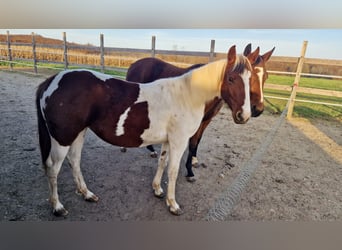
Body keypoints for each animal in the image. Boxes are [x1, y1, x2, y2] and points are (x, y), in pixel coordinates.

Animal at [36, 45, 255, 217]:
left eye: (251, 78)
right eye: (231, 78)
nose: (244, 115)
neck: (188, 95)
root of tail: (52, 81)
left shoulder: (168, 140)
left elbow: (162, 162)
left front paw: (157, 189)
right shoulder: (179, 141)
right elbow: (173, 170)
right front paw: (172, 204)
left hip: (78, 134)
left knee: (74, 161)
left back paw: (87, 194)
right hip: (62, 138)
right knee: (53, 168)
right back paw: (57, 207)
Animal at [124, 44, 274, 182]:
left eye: (266, 76)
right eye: (251, 77)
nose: (257, 109)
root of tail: (134, 64)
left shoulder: (206, 120)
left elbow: (197, 141)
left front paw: (193, 161)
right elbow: (192, 142)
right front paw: (189, 171)